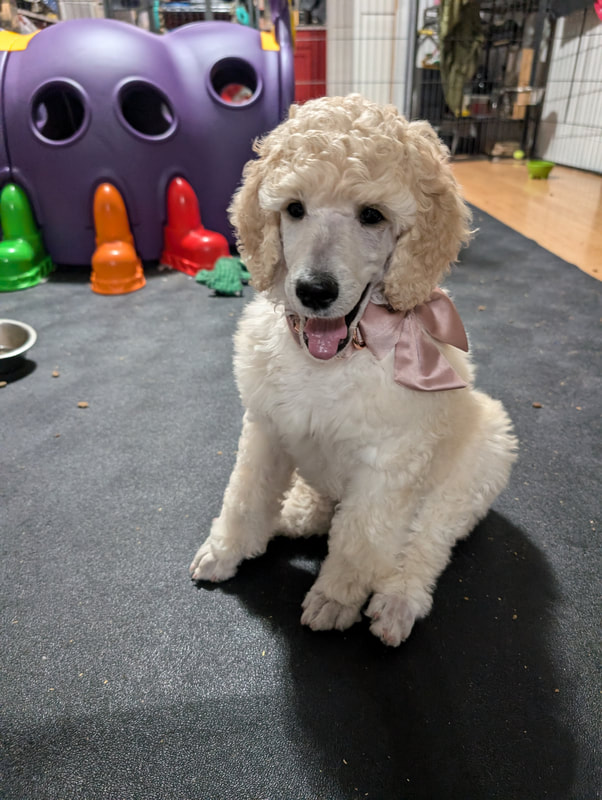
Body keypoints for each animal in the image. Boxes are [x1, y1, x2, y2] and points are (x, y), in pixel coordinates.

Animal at [190, 94, 517, 646]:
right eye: (294, 209)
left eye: (372, 216)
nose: (314, 291)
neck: (335, 357)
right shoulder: (266, 426)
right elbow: (245, 493)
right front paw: (226, 549)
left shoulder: (389, 465)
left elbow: (361, 535)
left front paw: (336, 596)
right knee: (322, 506)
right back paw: (297, 511)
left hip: (481, 457)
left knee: (426, 540)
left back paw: (397, 600)